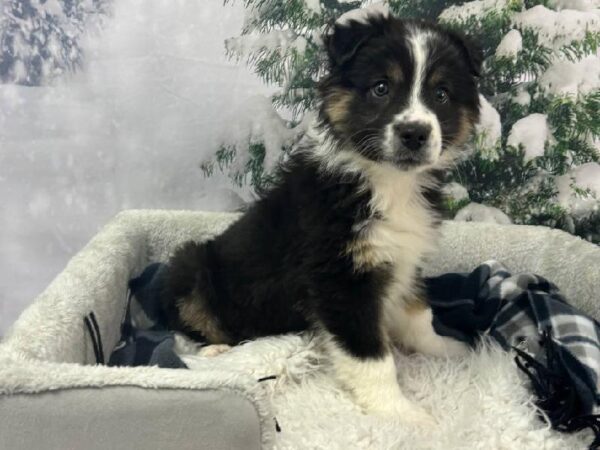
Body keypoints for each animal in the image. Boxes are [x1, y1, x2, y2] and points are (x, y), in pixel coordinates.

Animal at [165, 9, 482, 426]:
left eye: (441, 94)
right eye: (381, 88)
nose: (414, 133)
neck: (388, 183)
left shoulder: (403, 258)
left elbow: (418, 313)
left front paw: (447, 349)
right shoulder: (340, 280)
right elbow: (371, 355)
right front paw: (399, 414)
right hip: (190, 265)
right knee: (190, 327)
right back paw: (215, 353)